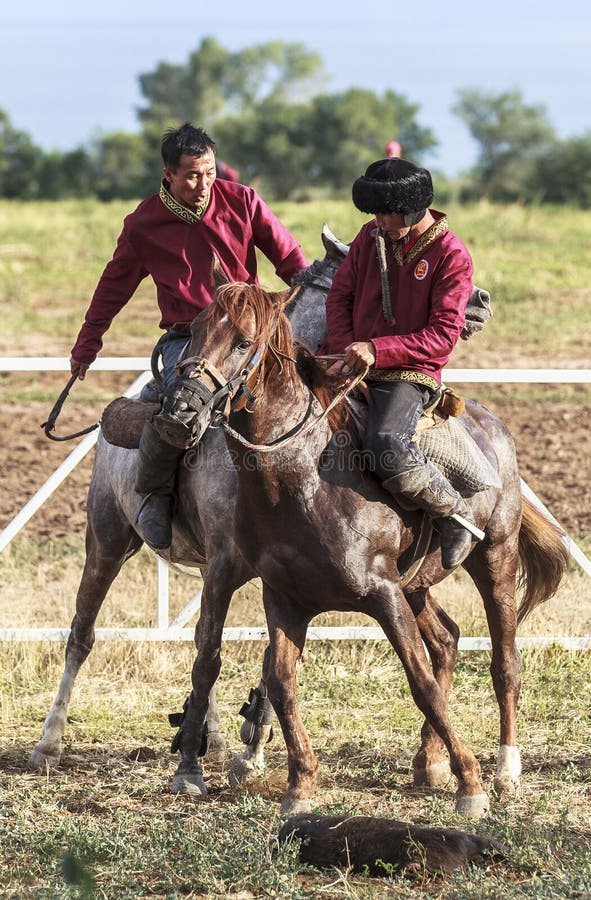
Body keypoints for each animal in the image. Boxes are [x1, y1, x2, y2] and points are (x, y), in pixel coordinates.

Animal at [166, 280, 568, 816]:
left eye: (241, 341)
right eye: (194, 329)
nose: (181, 409)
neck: (304, 477)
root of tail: (493, 427)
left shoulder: (383, 593)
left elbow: (420, 683)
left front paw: (471, 784)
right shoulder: (286, 600)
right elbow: (281, 683)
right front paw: (300, 785)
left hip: (494, 559)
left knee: (504, 662)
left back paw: (505, 767)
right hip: (417, 586)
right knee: (446, 640)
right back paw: (429, 760)